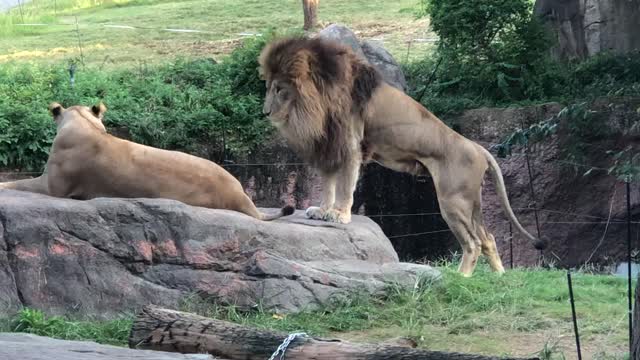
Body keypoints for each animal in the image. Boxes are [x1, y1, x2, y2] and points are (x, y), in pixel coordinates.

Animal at [260, 36, 544, 278]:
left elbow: (344, 185)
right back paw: (500, 279)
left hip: (453, 200)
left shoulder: (349, 144)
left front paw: (339, 214)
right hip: (472, 201)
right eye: (269, 87)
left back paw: (460, 278)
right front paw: (322, 210)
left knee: (473, 243)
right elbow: (328, 183)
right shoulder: (329, 145)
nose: (265, 113)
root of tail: (479, 148)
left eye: (280, 89)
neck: (317, 99)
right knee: (488, 239)